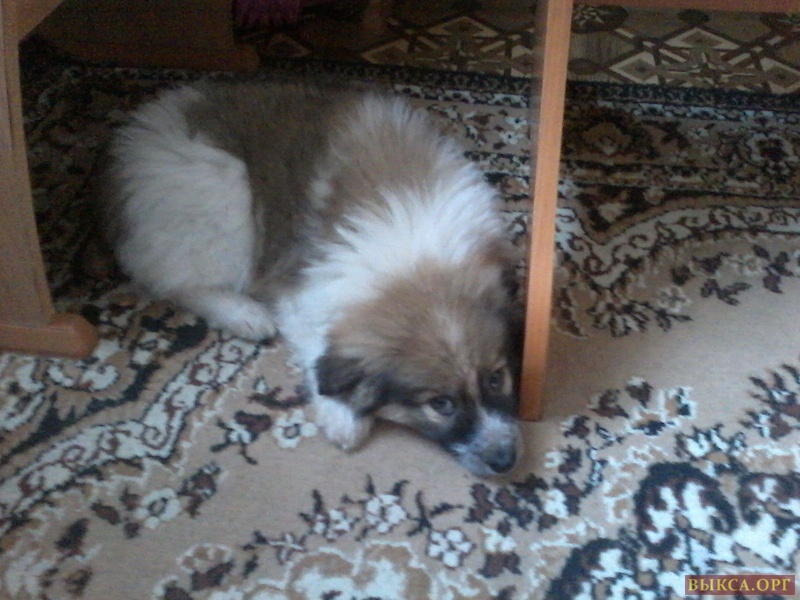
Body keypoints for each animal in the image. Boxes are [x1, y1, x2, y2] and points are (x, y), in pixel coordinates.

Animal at [98, 82, 522, 476]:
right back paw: (244, 314)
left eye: (496, 378)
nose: (505, 461)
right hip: (220, 194)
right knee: (166, 275)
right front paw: (343, 415)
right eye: (441, 404)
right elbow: (318, 346)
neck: (417, 259)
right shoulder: (300, 288)